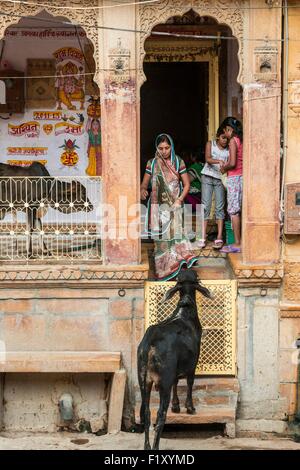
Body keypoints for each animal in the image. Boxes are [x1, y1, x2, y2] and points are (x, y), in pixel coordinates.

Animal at [137, 268, 212, 448]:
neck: (185, 311)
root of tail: (150, 342)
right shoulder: (192, 363)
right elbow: (190, 382)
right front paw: (189, 408)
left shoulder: (176, 369)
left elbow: (177, 382)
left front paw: (176, 406)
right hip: (164, 380)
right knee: (159, 415)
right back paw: (155, 446)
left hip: (143, 379)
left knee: (146, 413)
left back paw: (147, 446)